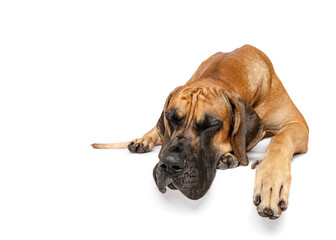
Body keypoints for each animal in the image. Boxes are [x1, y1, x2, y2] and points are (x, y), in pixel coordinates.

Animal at [91, 45, 308, 219]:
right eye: (171, 118)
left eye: (211, 125)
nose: (169, 165)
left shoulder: (298, 124)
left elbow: (279, 140)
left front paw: (271, 183)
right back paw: (142, 141)